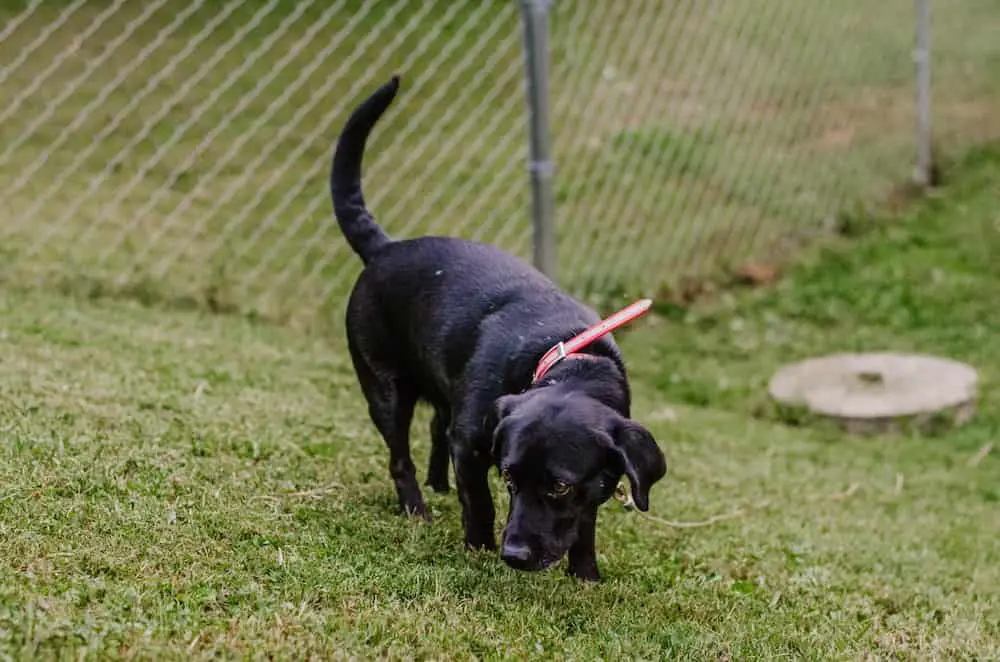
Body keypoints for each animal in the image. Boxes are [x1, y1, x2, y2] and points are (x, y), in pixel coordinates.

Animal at [332, 74, 668, 580]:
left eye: (560, 486)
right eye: (508, 476)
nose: (515, 555)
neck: (562, 356)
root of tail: (385, 247)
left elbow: (585, 522)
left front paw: (584, 573)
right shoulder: (472, 446)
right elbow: (480, 502)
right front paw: (478, 547)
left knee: (435, 425)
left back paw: (438, 485)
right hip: (384, 388)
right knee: (400, 456)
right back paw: (417, 507)